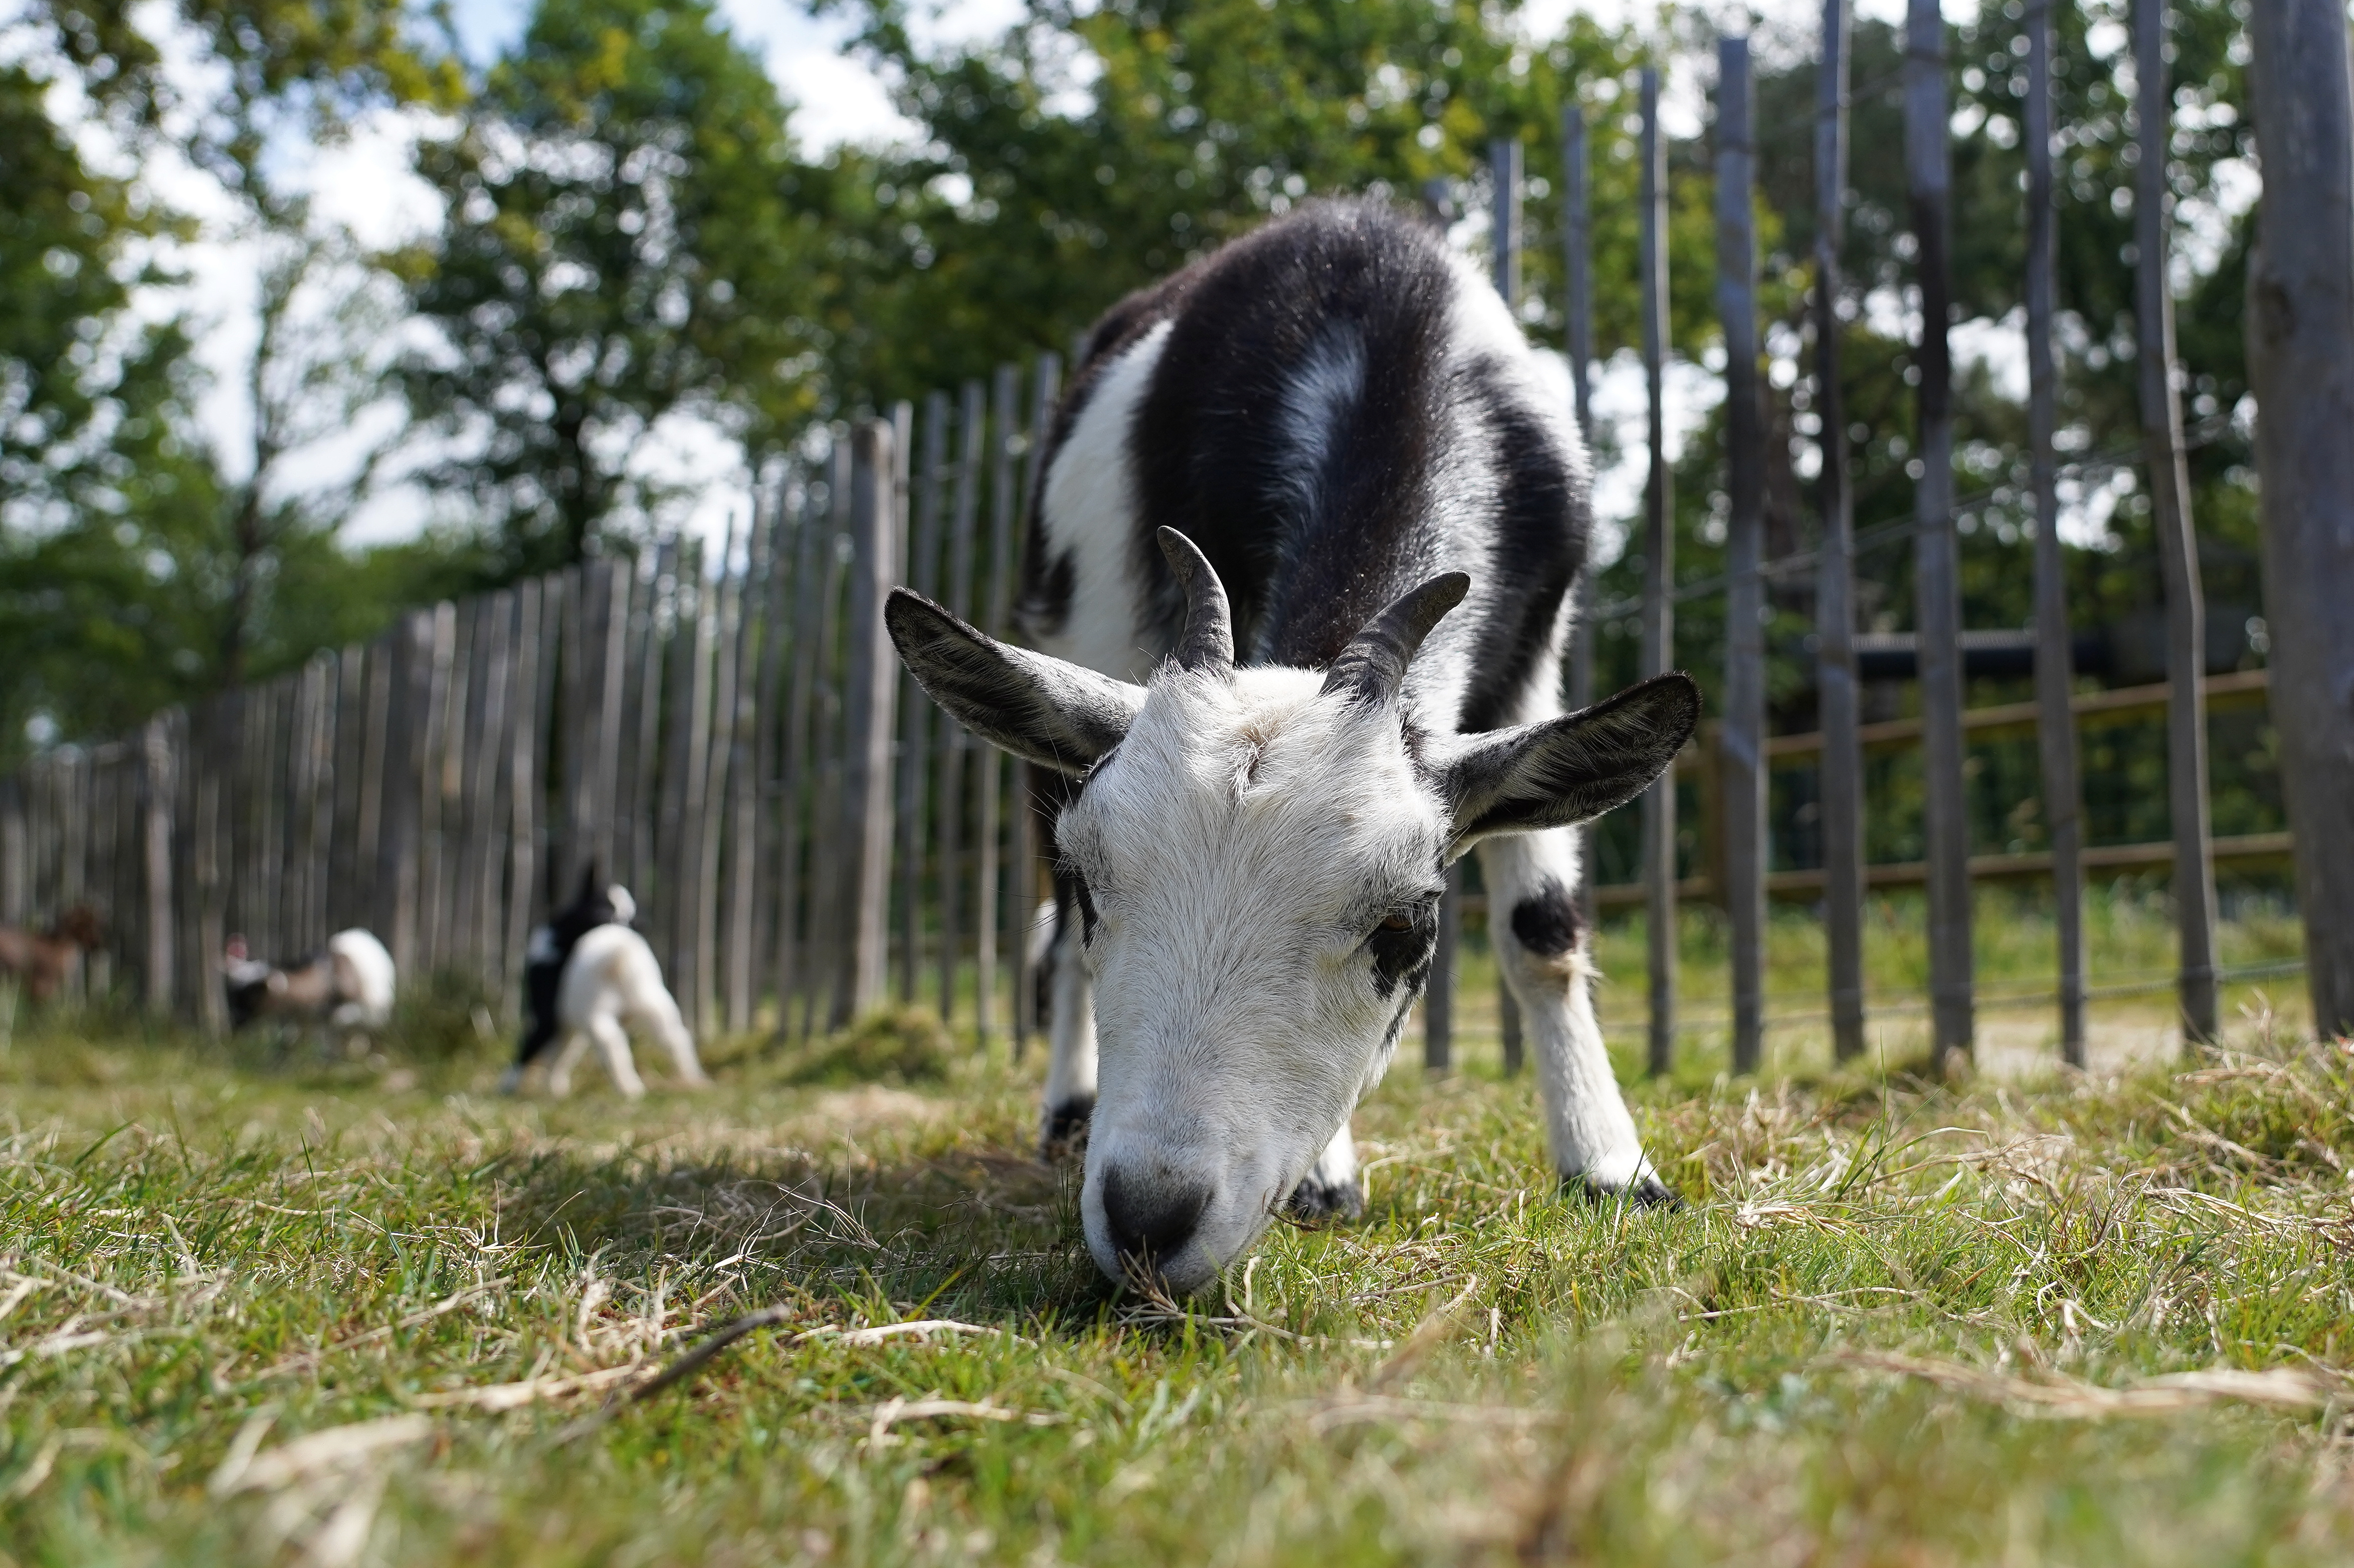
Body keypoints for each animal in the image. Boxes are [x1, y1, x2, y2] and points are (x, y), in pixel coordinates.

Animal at [499, 866, 701, 1097]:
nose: (632, 924)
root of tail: (618, 956)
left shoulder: (548, 1016)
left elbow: (530, 1048)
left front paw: (509, 1086)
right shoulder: (569, 1027)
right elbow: (561, 1057)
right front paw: (555, 1088)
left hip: (597, 1016)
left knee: (612, 1047)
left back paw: (629, 1088)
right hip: (655, 1007)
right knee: (677, 1039)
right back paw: (693, 1081)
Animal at [890, 198, 1704, 1290]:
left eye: (1404, 927)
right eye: (1105, 886)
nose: (1148, 1219)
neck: (1375, 329)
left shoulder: (1536, 652)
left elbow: (1540, 926)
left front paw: (1613, 1168)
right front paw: (1325, 1176)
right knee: (1050, 931)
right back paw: (1066, 1113)